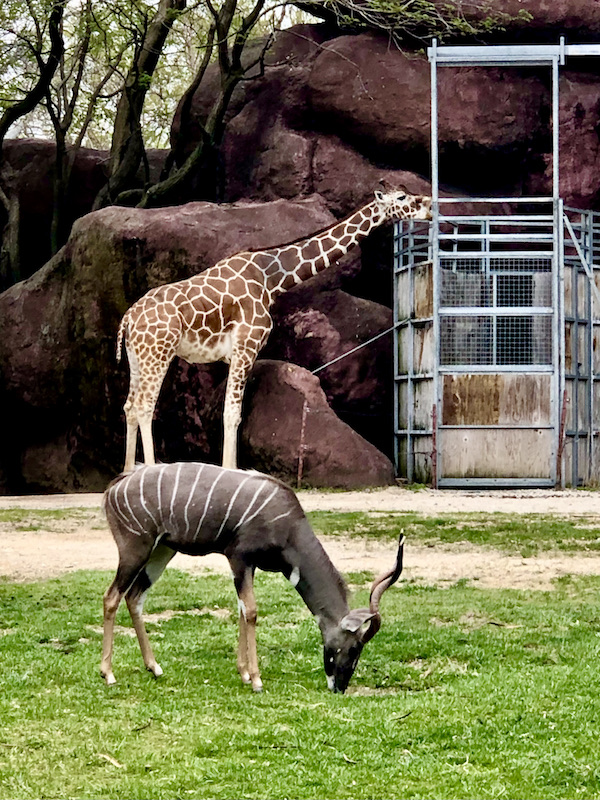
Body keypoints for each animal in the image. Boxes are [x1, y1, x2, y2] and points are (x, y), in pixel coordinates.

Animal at [101, 462, 404, 693]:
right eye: (353, 649)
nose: (339, 687)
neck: (289, 528)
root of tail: (114, 488)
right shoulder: (239, 558)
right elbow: (251, 611)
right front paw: (256, 680)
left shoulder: (250, 566)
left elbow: (241, 609)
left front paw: (244, 673)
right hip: (135, 549)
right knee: (111, 597)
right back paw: (108, 673)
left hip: (162, 552)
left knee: (134, 597)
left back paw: (154, 667)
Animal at [117, 186, 432, 471]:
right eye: (402, 197)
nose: (429, 205)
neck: (271, 279)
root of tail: (127, 319)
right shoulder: (245, 348)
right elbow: (232, 414)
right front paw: (230, 471)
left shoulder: (238, 354)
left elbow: (231, 413)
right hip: (158, 354)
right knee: (144, 406)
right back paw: (149, 469)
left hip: (138, 358)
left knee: (129, 407)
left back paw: (128, 471)